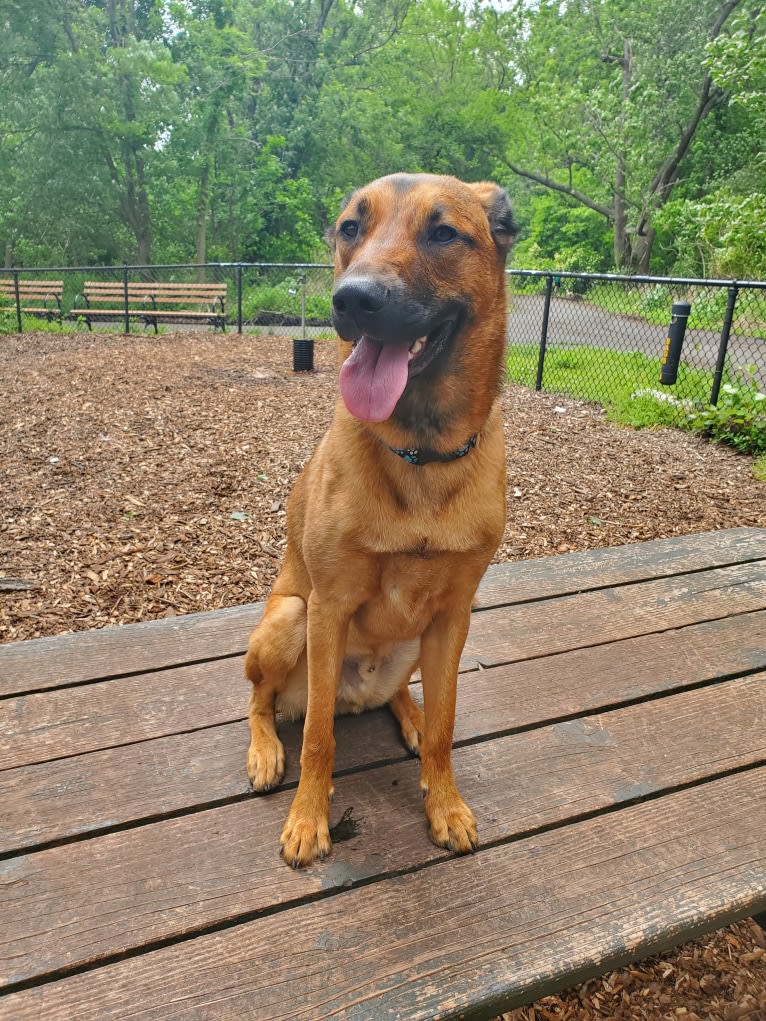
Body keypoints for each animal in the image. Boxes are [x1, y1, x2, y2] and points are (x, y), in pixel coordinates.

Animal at [244, 171, 516, 865]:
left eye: (443, 232)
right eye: (350, 228)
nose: (353, 300)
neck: (420, 454)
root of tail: (357, 694)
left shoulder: (453, 617)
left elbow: (447, 725)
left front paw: (444, 802)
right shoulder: (329, 607)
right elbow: (318, 738)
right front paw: (308, 819)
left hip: (417, 645)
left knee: (402, 695)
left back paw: (409, 717)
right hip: (290, 619)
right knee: (263, 700)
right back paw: (264, 749)